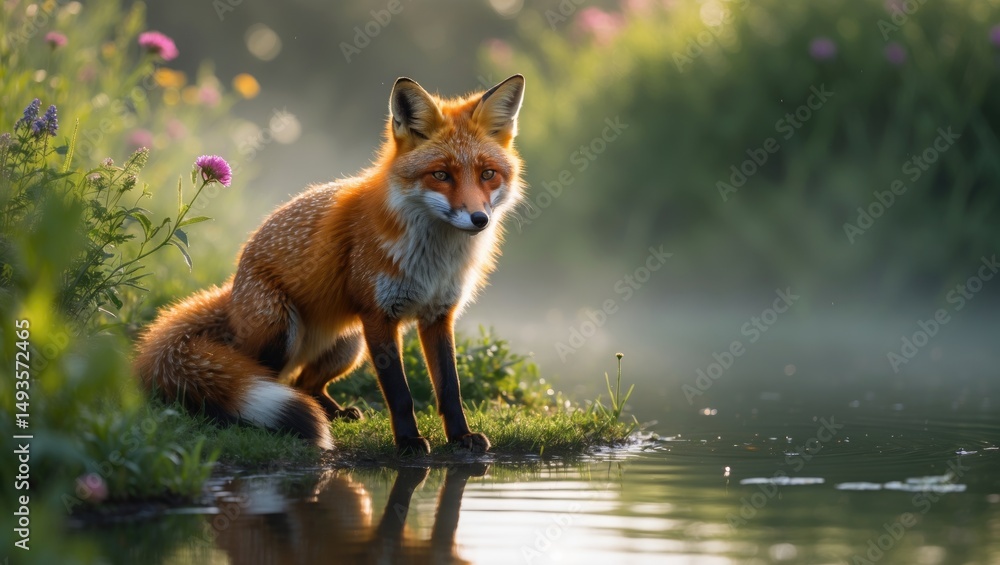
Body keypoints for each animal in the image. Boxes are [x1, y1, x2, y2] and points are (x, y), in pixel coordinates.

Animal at [135, 75, 525, 455]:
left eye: (488, 174)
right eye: (441, 175)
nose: (479, 219)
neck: (433, 260)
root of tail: (231, 294)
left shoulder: (438, 315)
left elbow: (450, 390)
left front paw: (461, 437)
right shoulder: (379, 315)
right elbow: (400, 395)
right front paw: (408, 443)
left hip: (349, 345)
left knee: (304, 383)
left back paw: (333, 412)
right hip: (282, 330)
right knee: (261, 380)